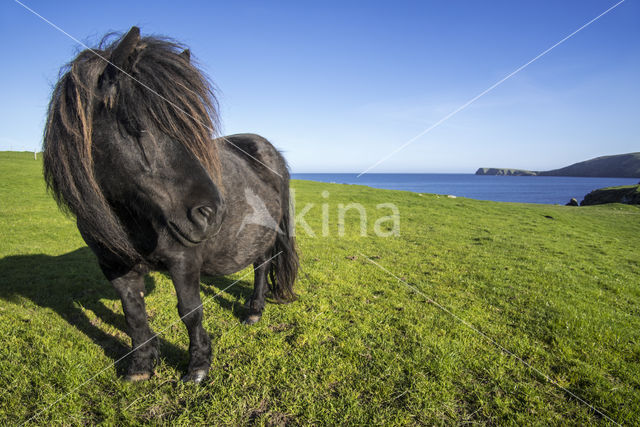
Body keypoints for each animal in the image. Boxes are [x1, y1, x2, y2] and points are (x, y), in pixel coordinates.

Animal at [42, 26, 298, 382]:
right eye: (136, 126)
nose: (212, 215)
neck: (134, 216)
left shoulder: (184, 260)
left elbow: (190, 311)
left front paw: (198, 366)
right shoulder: (114, 266)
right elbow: (133, 313)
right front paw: (140, 365)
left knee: (262, 265)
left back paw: (254, 311)